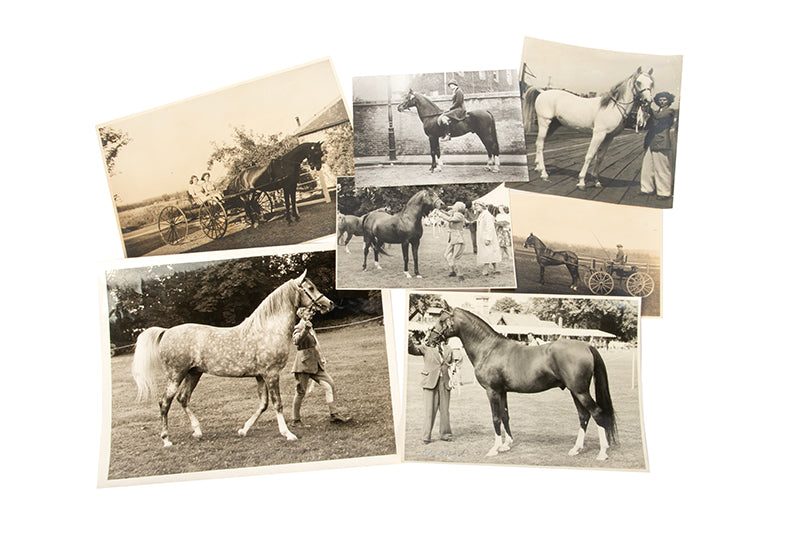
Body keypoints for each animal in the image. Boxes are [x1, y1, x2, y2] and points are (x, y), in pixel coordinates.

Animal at [131, 270, 334, 448]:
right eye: (310, 287)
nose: (330, 304)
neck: (267, 330)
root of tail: (166, 332)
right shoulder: (271, 374)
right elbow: (277, 403)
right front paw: (288, 434)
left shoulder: (260, 376)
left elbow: (263, 404)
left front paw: (243, 429)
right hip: (176, 375)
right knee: (165, 402)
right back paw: (166, 439)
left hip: (193, 373)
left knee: (183, 398)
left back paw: (197, 431)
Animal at [425, 303, 616, 460]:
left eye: (441, 320)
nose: (428, 340)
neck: (488, 349)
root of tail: (587, 346)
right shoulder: (502, 391)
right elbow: (505, 415)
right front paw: (506, 445)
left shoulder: (492, 391)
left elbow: (496, 417)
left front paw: (494, 448)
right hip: (575, 392)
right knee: (584, 416)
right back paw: (576, 449)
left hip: (580, 391)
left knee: (597, 413)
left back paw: (602, 452)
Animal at [524, 67, 655, 190]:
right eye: (638, 82)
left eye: (651, 83)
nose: (648, 101)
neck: (612, 107)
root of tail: (542, 92)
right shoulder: (598, 134)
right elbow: (590, 156)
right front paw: (581, 181)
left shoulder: (609, 137)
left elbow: (600, 158)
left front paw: (596, 181)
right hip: (544, 122)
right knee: (540, 145)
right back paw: (544, 173)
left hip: (552, 126)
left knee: (539, 143)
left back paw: (538, 167)